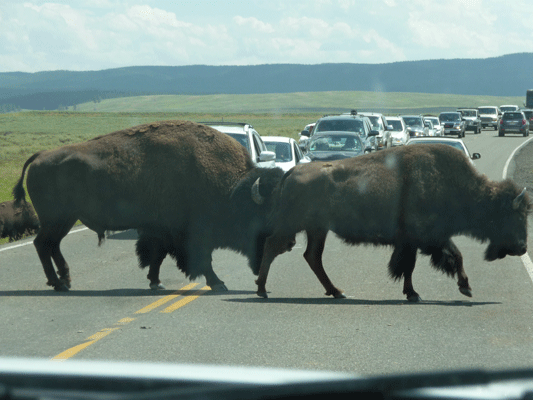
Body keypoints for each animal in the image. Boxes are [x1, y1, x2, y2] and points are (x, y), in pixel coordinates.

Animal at [12, 120, 284, 292]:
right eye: (262, 219)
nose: (262, 266)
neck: (230, 188)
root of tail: (41, 155)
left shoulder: (161, 230)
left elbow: (157, 256)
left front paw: (155, 282)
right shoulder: (190, 234)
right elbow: (199, 260)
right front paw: (218, 283)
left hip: (65, 219)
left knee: (52, 246)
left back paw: (66, 281)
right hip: (56, 219)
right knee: (43, 244)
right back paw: (59, 284)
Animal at [254, 142, 528, 302]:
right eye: (513, 215)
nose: (523, 247)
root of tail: (292, 172)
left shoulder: (421, 241)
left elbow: (421, 263)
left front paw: (418, 292)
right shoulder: (422, 239)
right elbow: (432, 261)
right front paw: (426, 292)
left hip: (317, 229)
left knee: (312, 256)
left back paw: (337, 292)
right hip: (295, 225)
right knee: (273, 246)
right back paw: (262, 289)